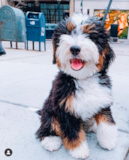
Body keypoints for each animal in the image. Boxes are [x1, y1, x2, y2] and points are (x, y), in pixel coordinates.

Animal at [35, 13, 117, 159]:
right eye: (67, 33)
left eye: (90, 35)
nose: (74, 48)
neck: (82, 78)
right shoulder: (65, 108)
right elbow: (73, 132)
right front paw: (79, 150)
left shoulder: (102, 100)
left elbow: (106, 121)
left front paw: (108, 140)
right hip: (49, 111)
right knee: (47, 125)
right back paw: (50, 140)